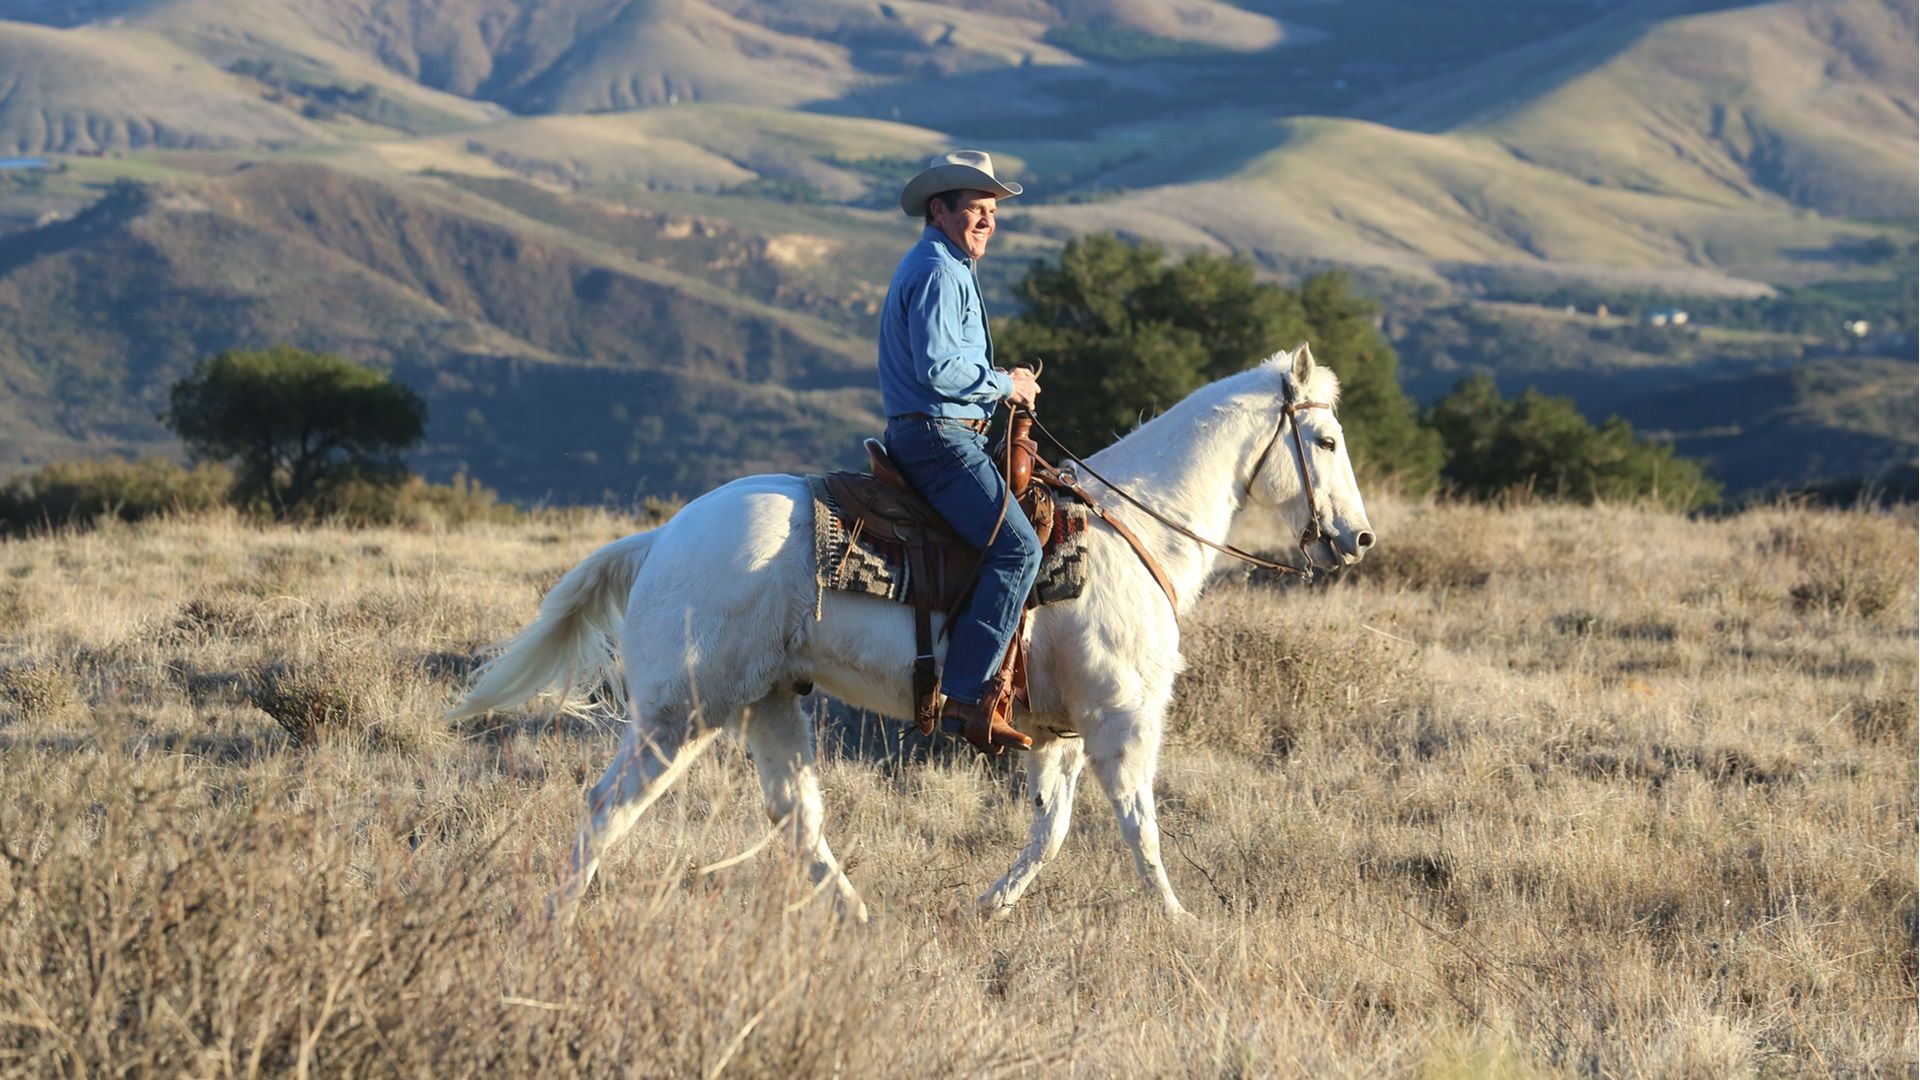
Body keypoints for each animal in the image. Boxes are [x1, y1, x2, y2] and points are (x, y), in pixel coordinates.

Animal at [445, 342, 1382, 914]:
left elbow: (1051, 830)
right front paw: (1180, 925)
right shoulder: (1124, 718)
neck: (1129, 529)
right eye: (1327, 441)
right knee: (610, 807)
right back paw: (562, 917)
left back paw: (859, 919)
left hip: (771, 704)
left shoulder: (1060, 734)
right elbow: (1140, 828)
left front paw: (990, 905)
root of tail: (661, 537)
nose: (1358, 539)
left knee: (798, 819)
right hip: (681, 716)